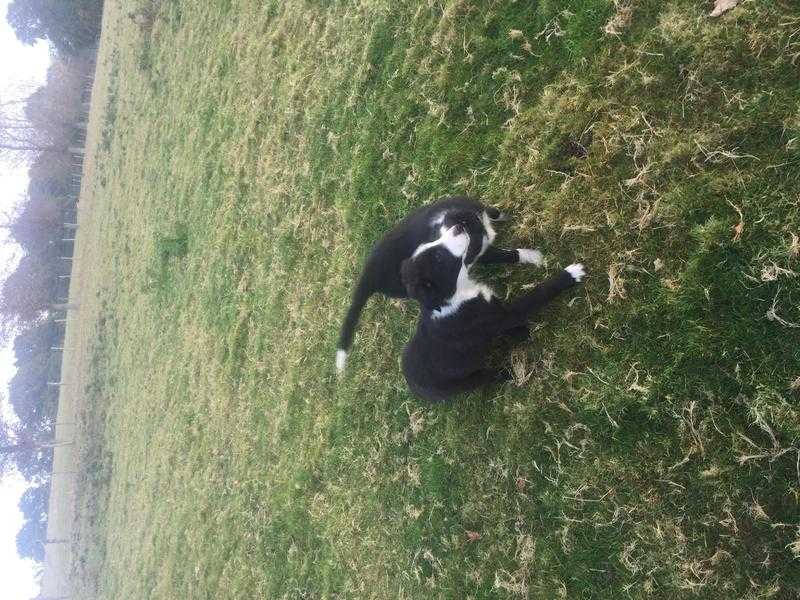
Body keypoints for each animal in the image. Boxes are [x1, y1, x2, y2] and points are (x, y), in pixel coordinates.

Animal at [334, 197, 548, 376]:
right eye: (440, 256)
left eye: (438, 249)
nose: (458, 228)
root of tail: (366, 277)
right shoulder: (481, 254)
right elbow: (507, 255)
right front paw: (534, 257)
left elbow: (493, 212)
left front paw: (505, 215)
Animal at [404, 225, 584, 404]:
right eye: (438, 257)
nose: (458, 226)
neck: (454, 295)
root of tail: (413, 386)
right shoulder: (502, 315)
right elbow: (538, 293)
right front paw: (570, 275)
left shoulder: (498, 314)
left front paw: (521, 333)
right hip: (465, 381)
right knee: (487, 377)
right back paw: (508, 374)